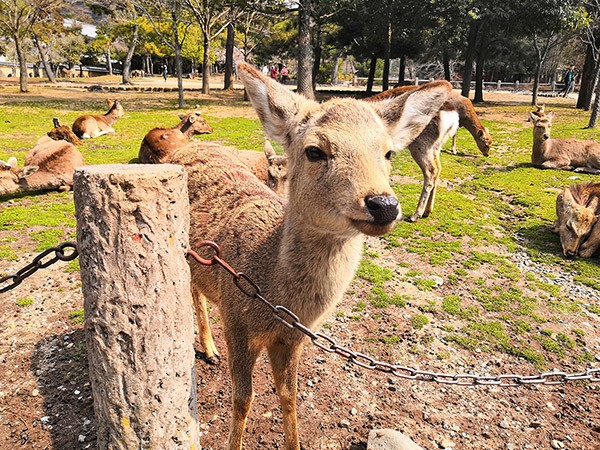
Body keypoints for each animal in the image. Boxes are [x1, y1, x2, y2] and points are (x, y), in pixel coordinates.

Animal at [172, 62, 452, 450]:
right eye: (315, 151)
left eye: (388, 153)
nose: (384, 204)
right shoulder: (236, 321)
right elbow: (242, 399)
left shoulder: (293, 339)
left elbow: (289, 396)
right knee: (193, 293)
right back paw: (209, 350)